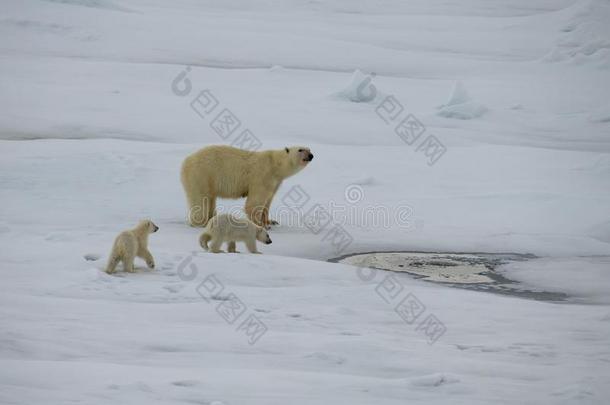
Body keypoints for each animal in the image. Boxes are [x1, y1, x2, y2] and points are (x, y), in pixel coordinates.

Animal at [180, 145, 314, 227]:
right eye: (300, 150)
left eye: (309, 149)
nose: (311, 156)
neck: (275, 165)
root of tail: (186, 162)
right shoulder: (262, 176)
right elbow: (254, 203)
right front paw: (260, 224)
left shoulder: (275, 182)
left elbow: (268, 201)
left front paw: (270, 221)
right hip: (202, 174)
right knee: (200, 198)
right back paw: (200, 222)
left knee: (210, 199)